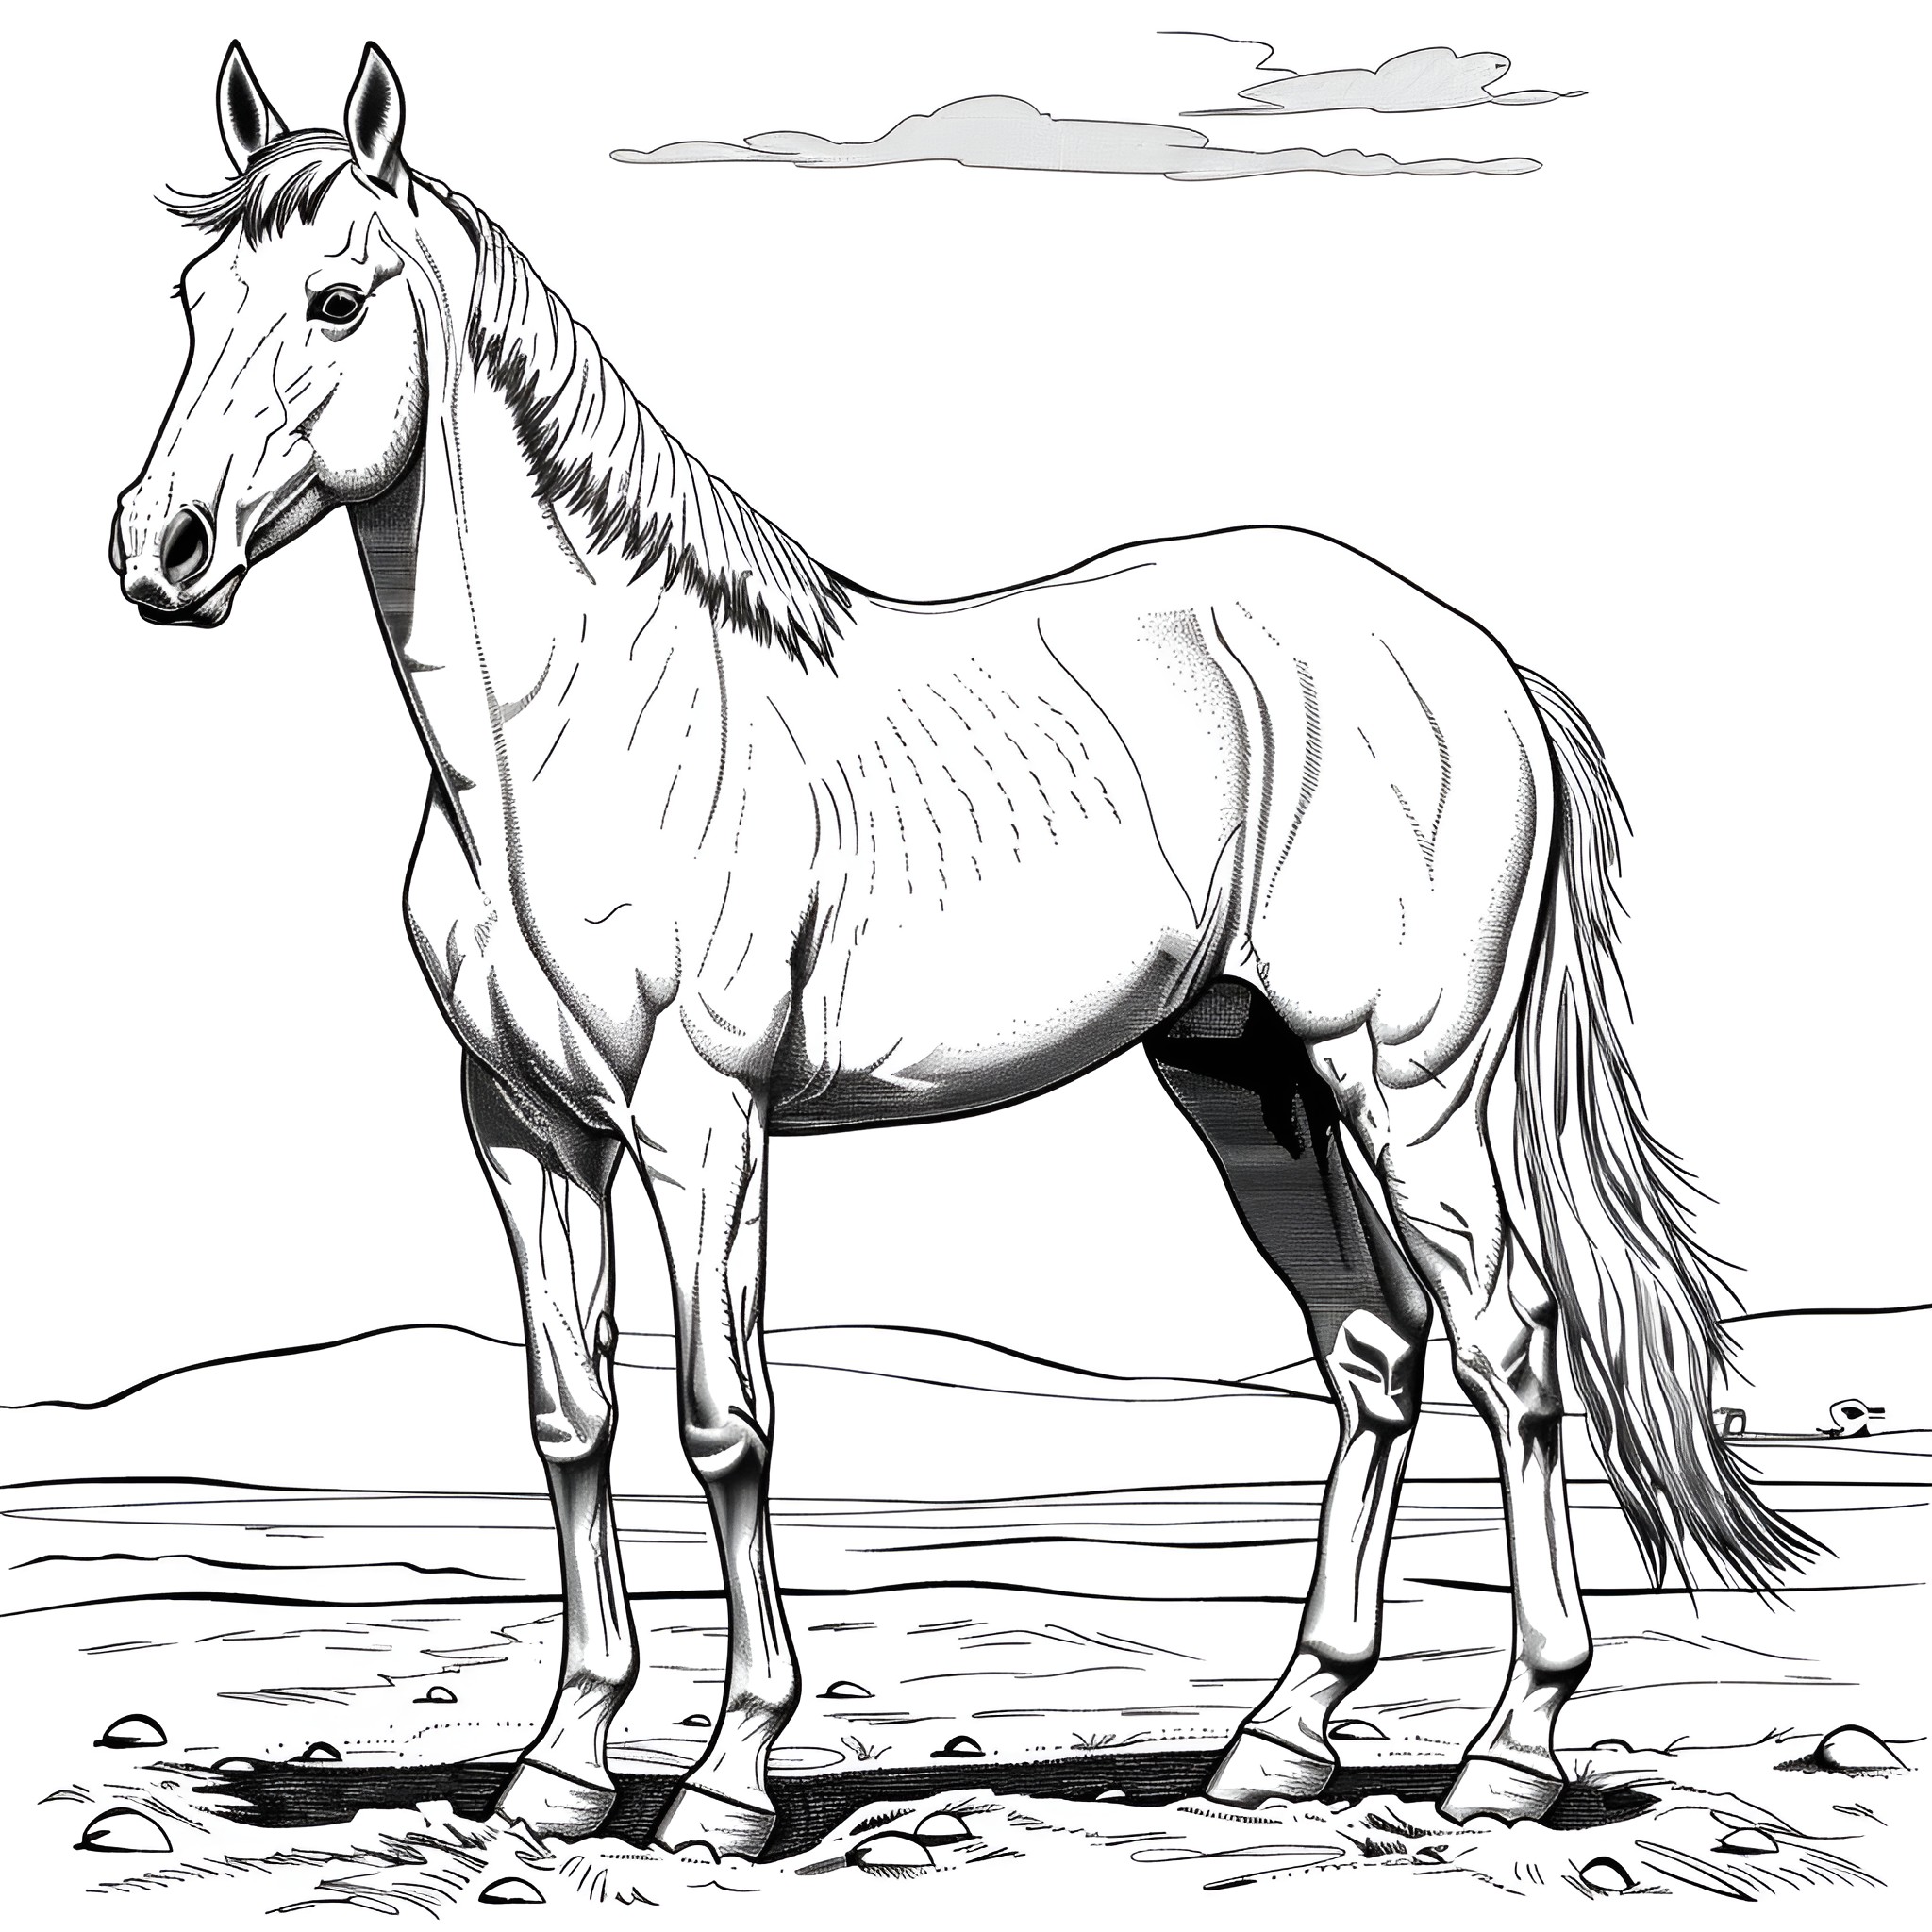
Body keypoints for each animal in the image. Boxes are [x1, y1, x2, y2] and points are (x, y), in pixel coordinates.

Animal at [113, 42, 1816, 1857]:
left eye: (337, 299)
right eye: (194, 296)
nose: (159, 550)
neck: (576, 735)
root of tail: (1478, 662)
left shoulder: (700, 1122)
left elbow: (724, 1420)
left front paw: (725, 1779)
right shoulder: (520, 1126)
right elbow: (569, 1417)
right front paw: (561, 1771)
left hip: (1406, 1081)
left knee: (1510, 1341)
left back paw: (1513, 1747)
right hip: (1248, 1082)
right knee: (1372, 1351)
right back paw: (1278, 1740)